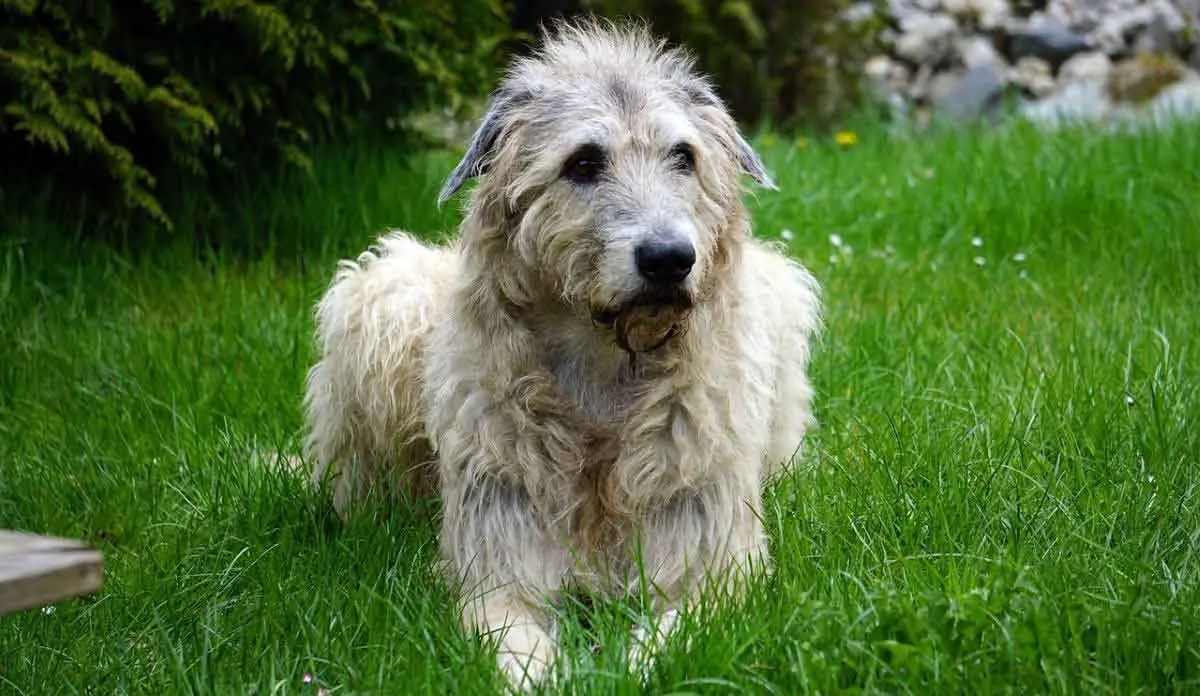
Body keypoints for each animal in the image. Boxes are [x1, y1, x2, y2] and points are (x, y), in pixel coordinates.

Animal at [304, 16, 820, 691]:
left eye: (684, 156)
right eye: (583, 162)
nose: (669, 259)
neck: (605, 365)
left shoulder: (715, 569)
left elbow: (671, 637)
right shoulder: (497, 567)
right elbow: (512, 638)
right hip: (383, 298)